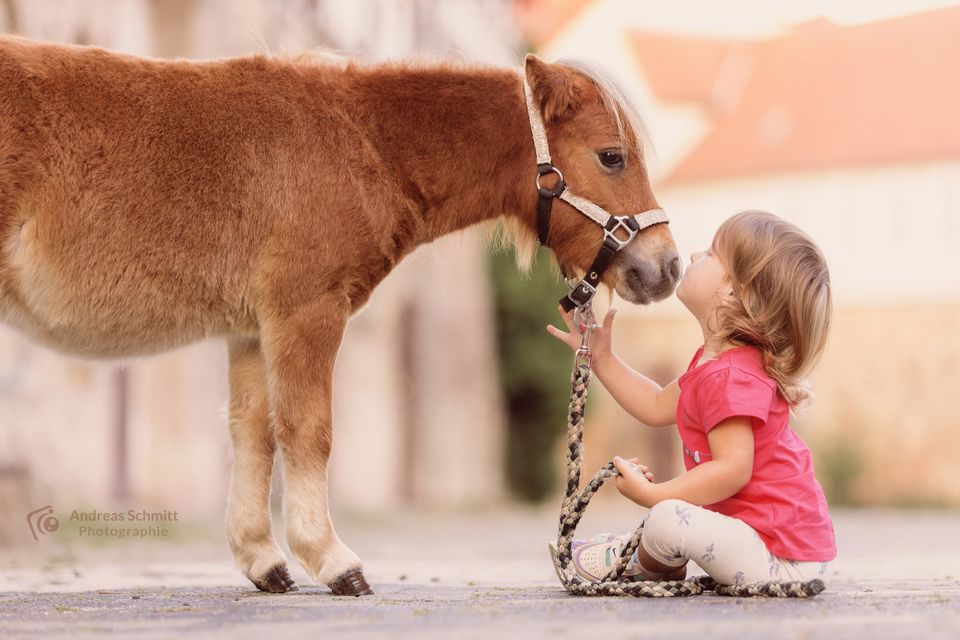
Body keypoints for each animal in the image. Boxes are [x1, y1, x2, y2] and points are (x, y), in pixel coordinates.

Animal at [0, 34, 680, 596]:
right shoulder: (306, 312)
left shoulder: (252, 330)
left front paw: (264, 561)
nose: (666, 268)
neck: (359, 142)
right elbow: (308, 430)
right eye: (612, 156)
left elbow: (255, 432)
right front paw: (333, 562)